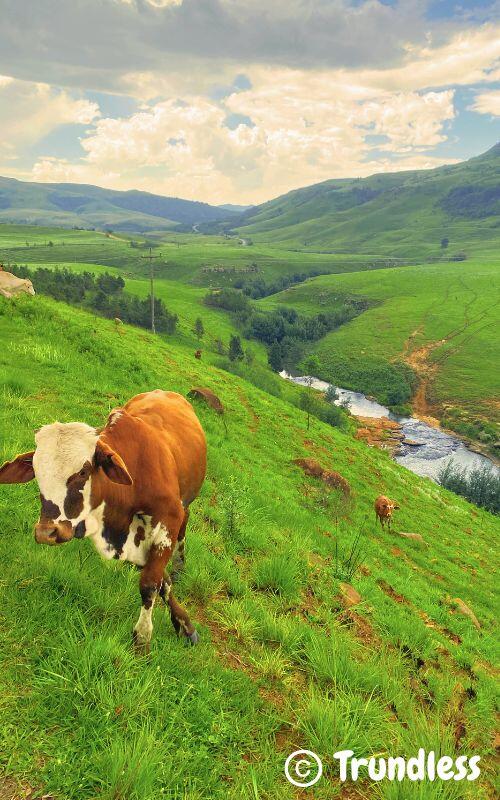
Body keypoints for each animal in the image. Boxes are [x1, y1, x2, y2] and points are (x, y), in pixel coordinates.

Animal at [0, 390, 207, 652]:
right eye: (36, 472)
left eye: (83, 472)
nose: (47, 532)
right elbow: (161, 581)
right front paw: (182, 623)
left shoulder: (169, 520)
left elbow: (151, 582)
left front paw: (144, 637)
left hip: (187, 502)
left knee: (184, 527)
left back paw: (180, 564)